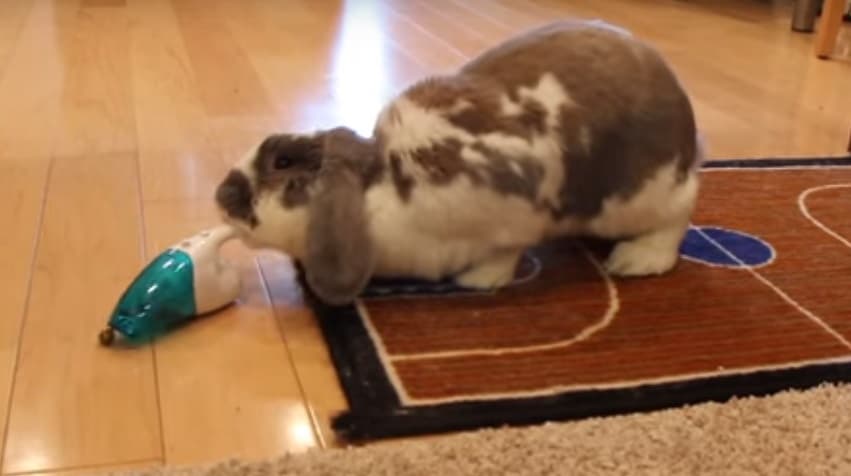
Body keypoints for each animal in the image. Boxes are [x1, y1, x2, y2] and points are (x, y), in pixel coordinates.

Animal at [214, 19, 702, 306]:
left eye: (282, 162)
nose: (221, 196)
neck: (380, 188)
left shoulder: (512, 207)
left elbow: (506, 252)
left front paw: (478, 279)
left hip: (643, 196)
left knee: (676, 217)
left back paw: (636, 260)